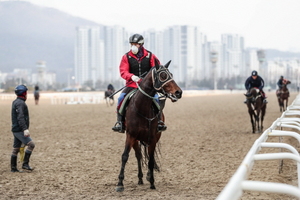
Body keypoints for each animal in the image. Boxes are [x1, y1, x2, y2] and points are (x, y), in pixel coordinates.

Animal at [115, 59, 183, 192]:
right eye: (163, 76)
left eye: (171, 74)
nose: (178, 92)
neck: (141, 107)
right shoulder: (130, 135)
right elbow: (125, 156)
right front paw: (120, 183)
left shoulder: (152, 137)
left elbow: (151, 160)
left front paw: (152, 181)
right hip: (135, 139)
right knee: (139, 155)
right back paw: (140, 178)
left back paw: (146, 176)